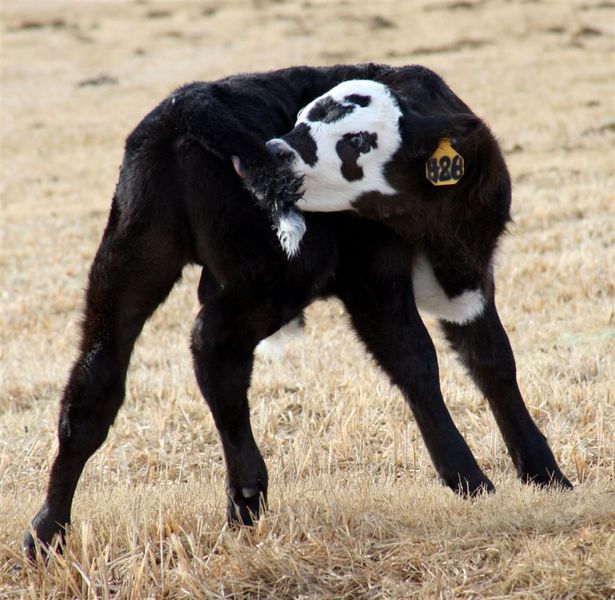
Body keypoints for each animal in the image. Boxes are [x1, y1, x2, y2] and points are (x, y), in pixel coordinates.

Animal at [25, 65, 572, 564]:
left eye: (358, 139)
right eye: (302, 118)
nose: (276, 151)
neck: (439, 231)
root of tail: (189, 100)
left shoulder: (473, 275)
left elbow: (494, 361)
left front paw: (546, 475)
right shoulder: (371, 275)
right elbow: (415, 361)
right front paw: (469, 480)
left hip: (133, 250)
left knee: (99, 380)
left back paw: (48, 534)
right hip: (277, 273)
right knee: (212, 344)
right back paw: (246, 494)